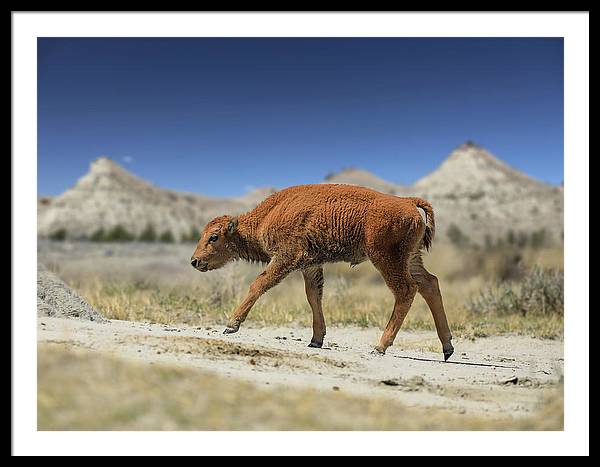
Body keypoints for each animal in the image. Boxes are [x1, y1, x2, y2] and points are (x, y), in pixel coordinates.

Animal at [192, 184, 454, 362]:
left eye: (213, 237)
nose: (195, 261)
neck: (268, 215)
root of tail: (408, 202)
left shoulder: (286, 258)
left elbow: (259, 284)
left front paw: (231, 325)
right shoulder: (310, 266)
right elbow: (313, 297)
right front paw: (316, 340)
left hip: (386, 259)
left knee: (406, 290)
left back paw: (380, 346)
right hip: (411, 258)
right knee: (430, 284)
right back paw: (447, 348)